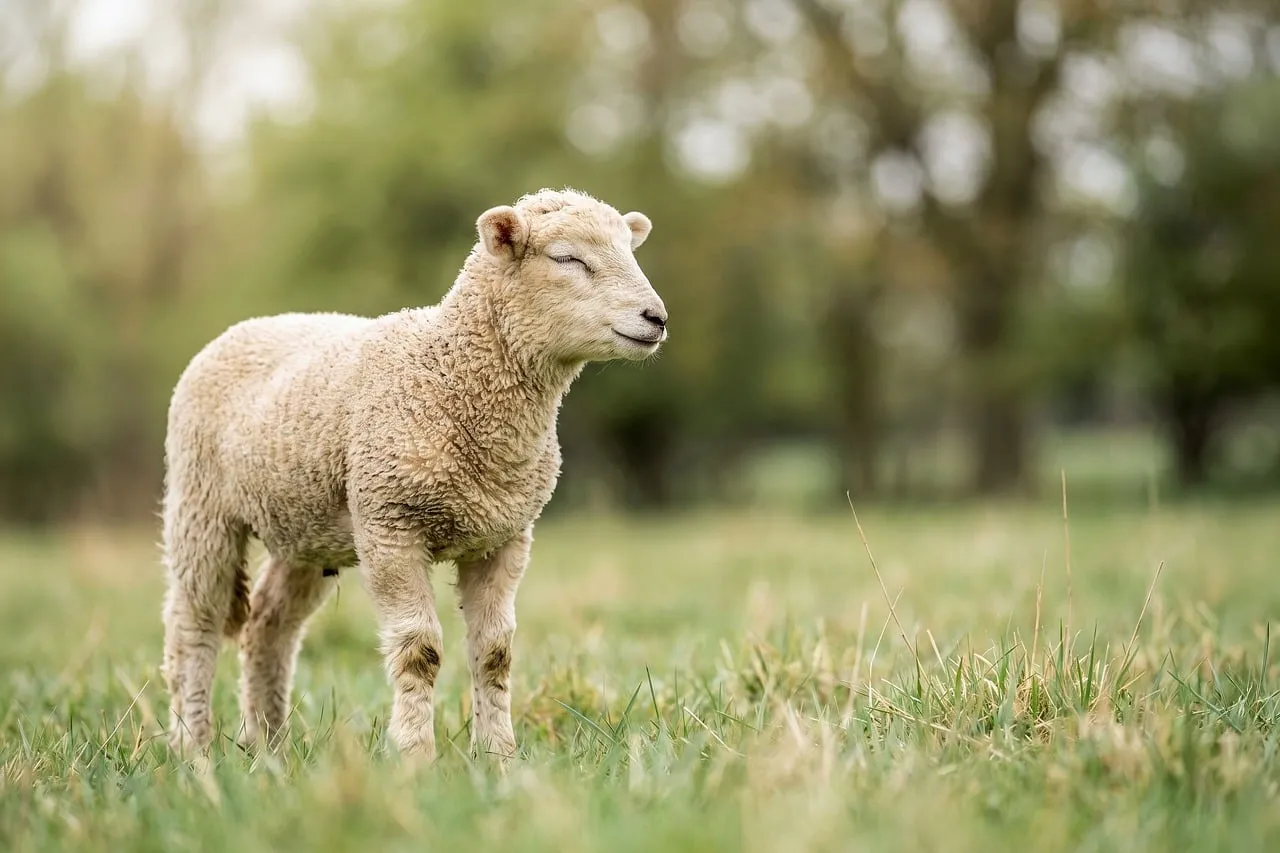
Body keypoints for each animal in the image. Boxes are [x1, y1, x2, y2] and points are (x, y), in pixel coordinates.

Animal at [160, 187, 667, 763]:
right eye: (567, 258)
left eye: (630, 249)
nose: (656, 317)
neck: (450, 371)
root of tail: (243, 327)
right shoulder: (389, 525)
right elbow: (418, 651)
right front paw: (415, 758)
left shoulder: (506, 537)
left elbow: (495, 653)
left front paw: (498, 758)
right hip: (200, 504)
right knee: (192, 626)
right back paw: (192, 747)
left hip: (305, 525)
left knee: (268, 625)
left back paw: (268, 746)